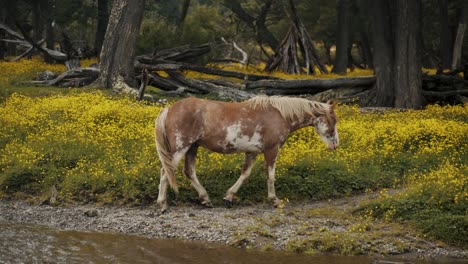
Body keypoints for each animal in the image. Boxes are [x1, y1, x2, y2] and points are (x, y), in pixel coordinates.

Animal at [155, 96, 338, 211]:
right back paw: (163, 204)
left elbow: (245, 174)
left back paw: (205, 199)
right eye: (334, 120)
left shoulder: (252, 152)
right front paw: (274, 200)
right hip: (181, 148)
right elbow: (270, 175)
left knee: (188, 171)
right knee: (166, 171)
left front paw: (229, 198)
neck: (279, 115)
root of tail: (169, 109)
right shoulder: (271, 149)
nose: (335, 144)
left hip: (192, 147)